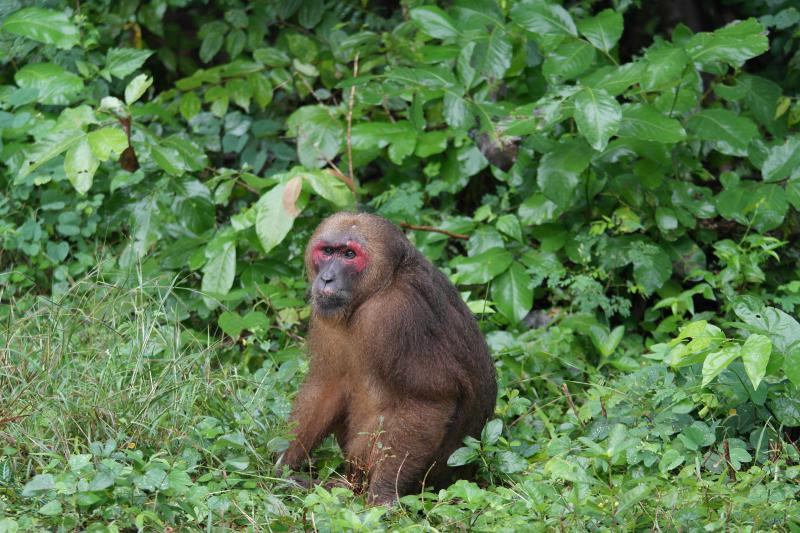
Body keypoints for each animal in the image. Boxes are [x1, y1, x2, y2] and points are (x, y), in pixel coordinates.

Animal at [280, 212, 494, 502]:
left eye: (349, 254)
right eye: (327, 251)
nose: (327, 279)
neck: (380, 286)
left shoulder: (396, 313)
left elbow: (430, 400)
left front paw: (383, 494)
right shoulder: (324, 313)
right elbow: (327, 386)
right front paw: (281, 463)